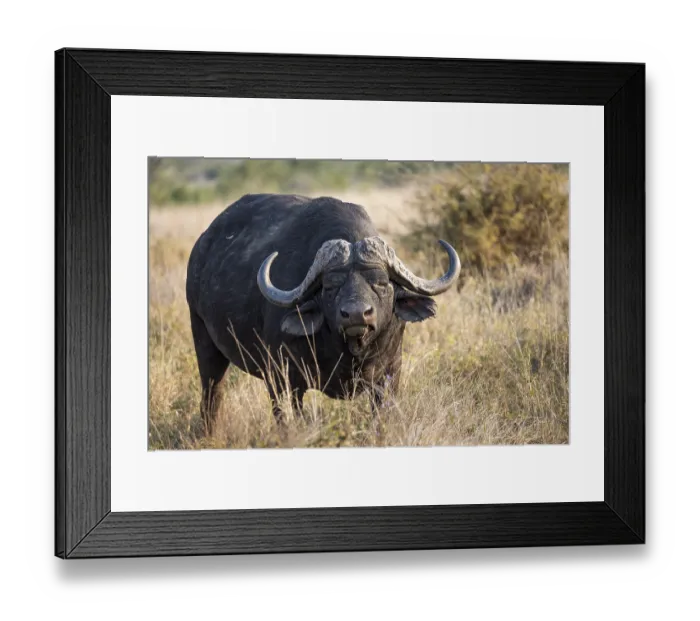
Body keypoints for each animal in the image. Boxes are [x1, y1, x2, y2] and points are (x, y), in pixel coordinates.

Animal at [185, 193, 461, 433]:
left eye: (381, 282)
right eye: (330, 286)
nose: (356, 315)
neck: (349, 351)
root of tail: (202, 247)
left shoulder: (389, 377)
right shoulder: (281, 380)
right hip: (204, 341)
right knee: (211, 397)